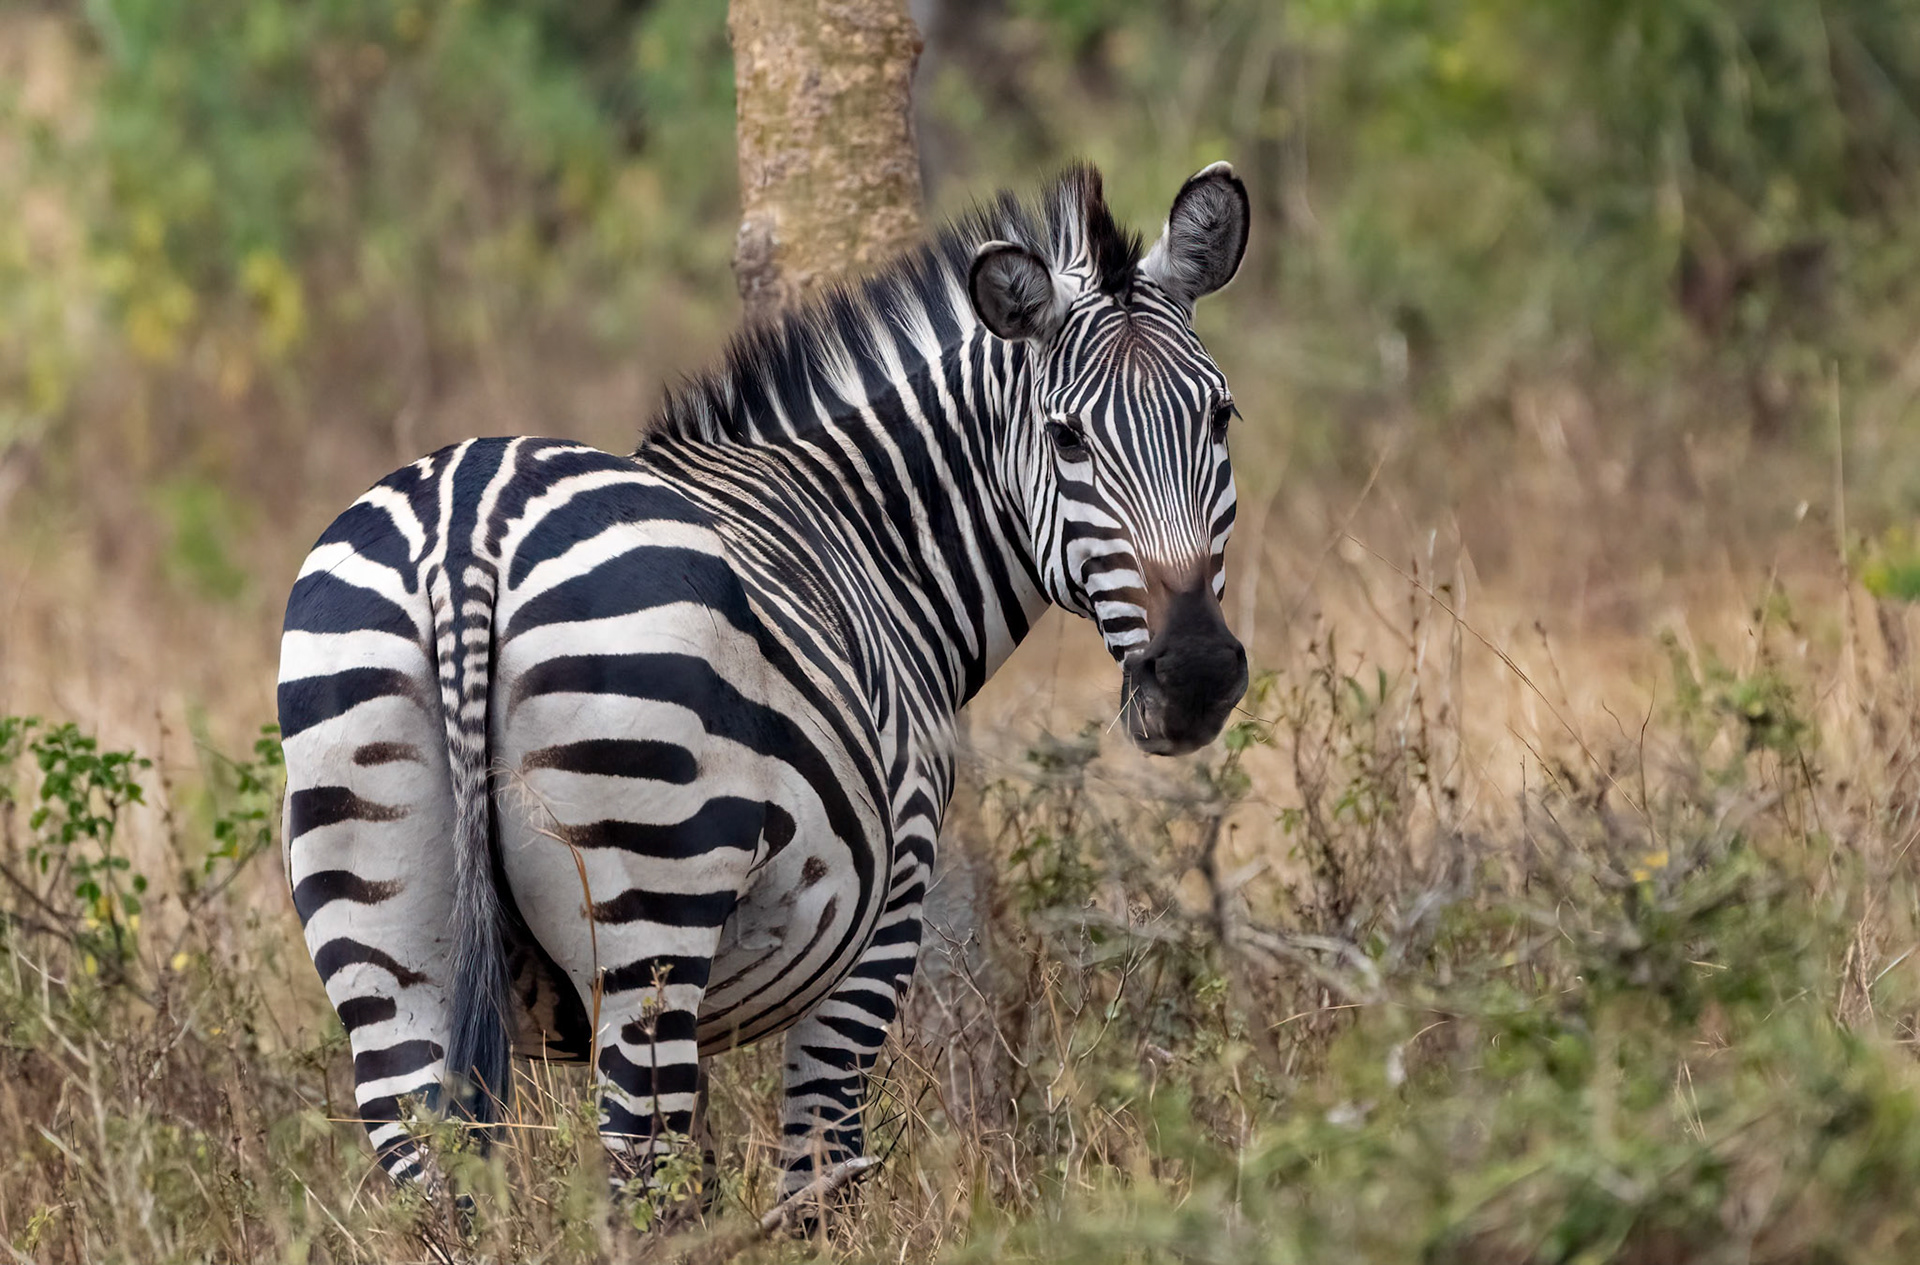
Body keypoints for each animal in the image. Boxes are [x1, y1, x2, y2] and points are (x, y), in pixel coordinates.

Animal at [277, 161, 1251, 1206]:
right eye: (1066, 438)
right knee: (639, 1177)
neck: (871, 535)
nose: (1195, 675)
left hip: (388, 940)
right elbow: (820, 1175)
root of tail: (467, 532)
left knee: (440, 1179)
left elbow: (708, 1186)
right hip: (646, 907)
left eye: (1220, 415)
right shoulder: (883, 920)